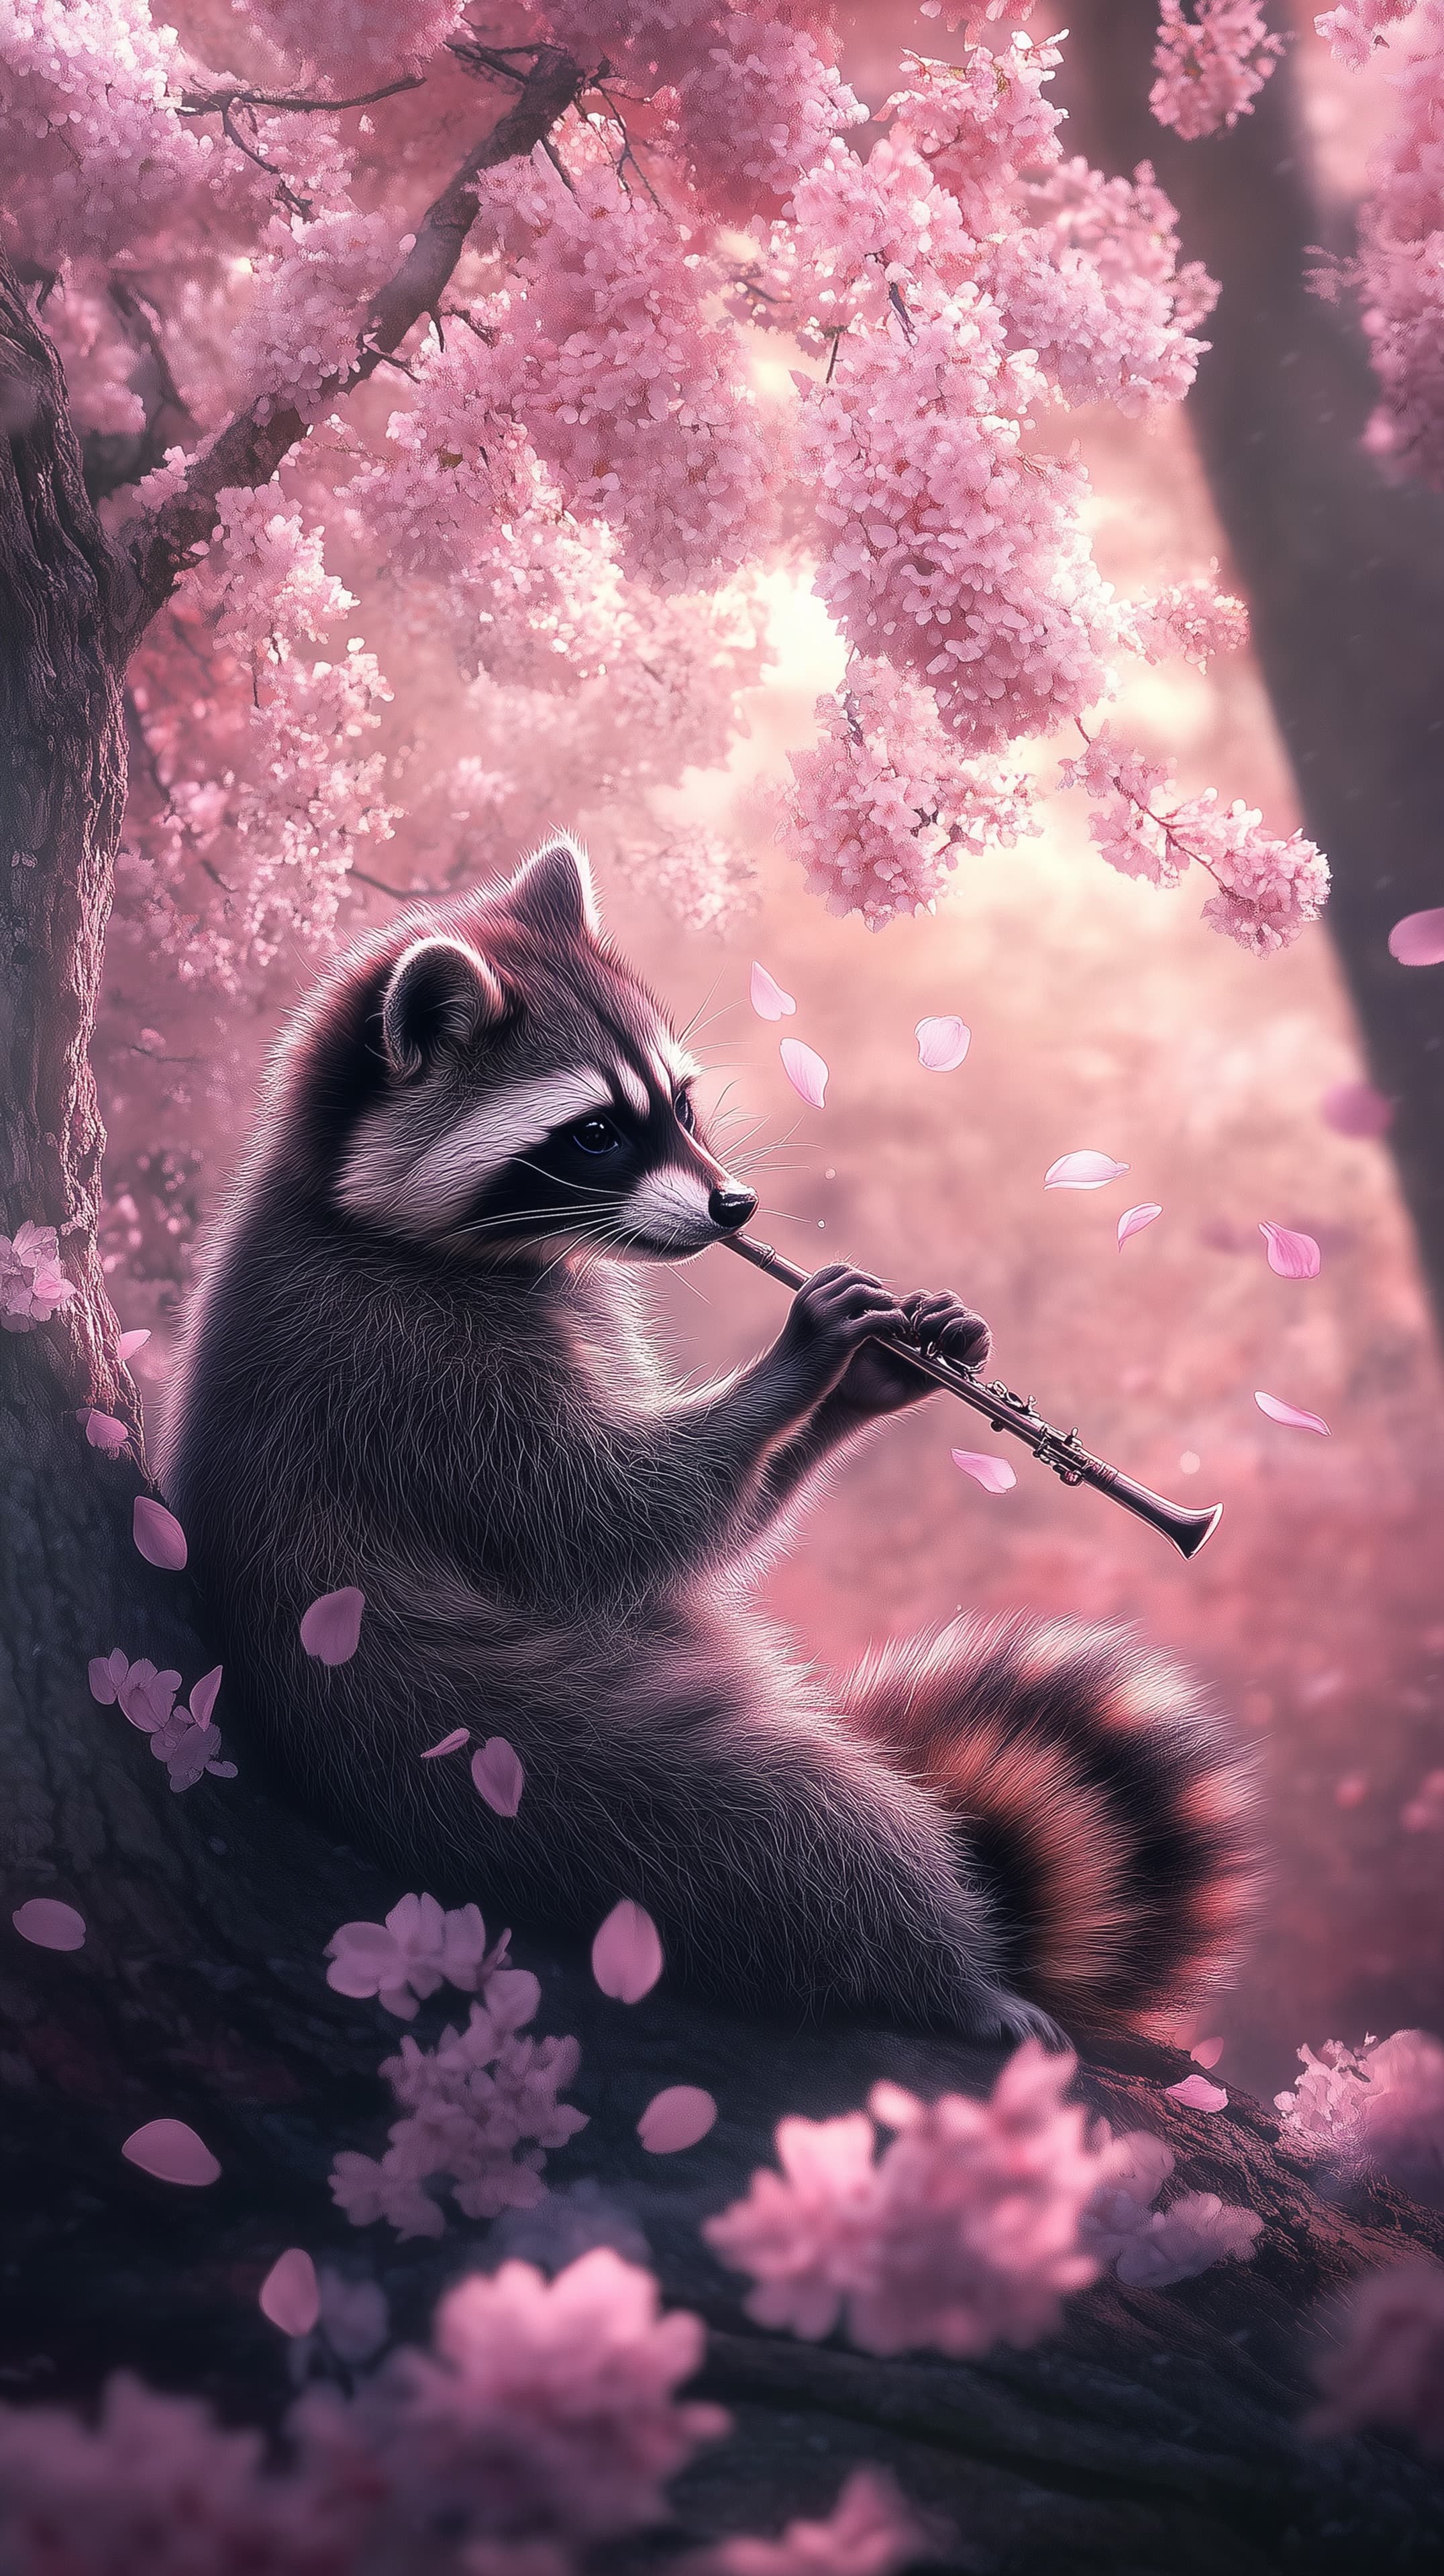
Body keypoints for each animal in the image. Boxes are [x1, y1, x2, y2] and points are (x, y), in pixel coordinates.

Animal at [160, 835, 1255, 2040]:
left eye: (680, 1104)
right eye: (595, 1134)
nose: (738, 1210)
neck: (343, 1199)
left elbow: (689, 1531)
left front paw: (887, 1367)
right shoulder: (402, 1369)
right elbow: (605, 1523)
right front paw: (808, 1349)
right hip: (525, 1761)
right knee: (790, 1827)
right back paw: (943, 1967)